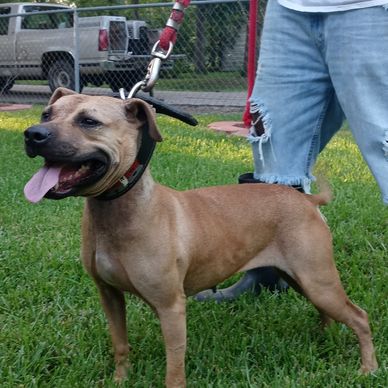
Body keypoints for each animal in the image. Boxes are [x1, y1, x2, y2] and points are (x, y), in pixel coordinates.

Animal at [23, 88, 376, 388]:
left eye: (89, 121)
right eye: (46, 114)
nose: (33, 134)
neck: (118, 207)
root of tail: (307, 200)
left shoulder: (170, 307)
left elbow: (174, 365)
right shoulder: (109, 295)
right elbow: (120, 344)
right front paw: (120, 381)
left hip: (318, 280)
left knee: (360, 316)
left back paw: (368, 368)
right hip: (305, 279)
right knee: (328, 311)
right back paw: (324, 337)